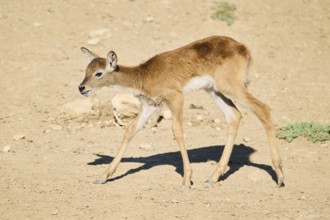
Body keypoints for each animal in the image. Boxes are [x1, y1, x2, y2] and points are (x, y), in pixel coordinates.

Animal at [79, 35, 284, 187]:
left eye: (99, 73)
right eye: (86, 70)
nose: (81, 88)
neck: (144, 76)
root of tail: (243, 48)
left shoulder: (176, 98)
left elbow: (177, 131)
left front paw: (186, 180)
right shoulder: (150, 106)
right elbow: (130, 130)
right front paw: (103, 176)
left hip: (231, 87)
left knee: (263, 109)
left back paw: (280, 176)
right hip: (215, 91)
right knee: (234, 116)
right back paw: (213, 177)